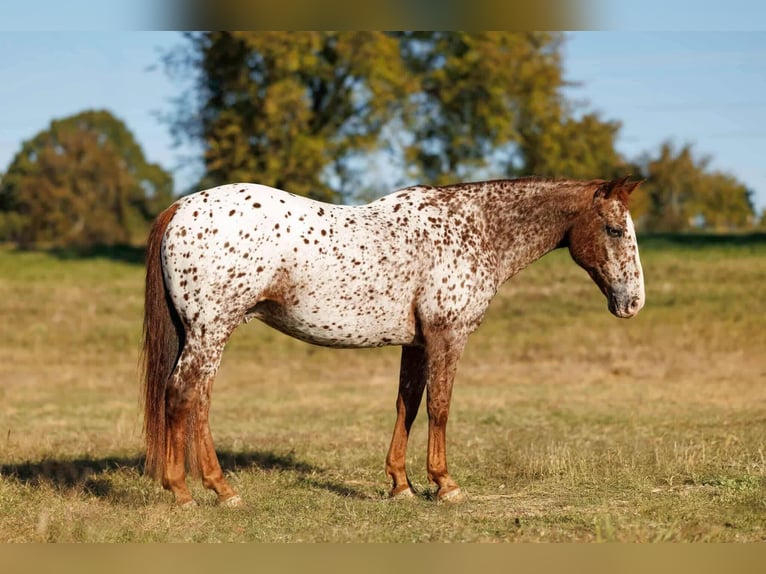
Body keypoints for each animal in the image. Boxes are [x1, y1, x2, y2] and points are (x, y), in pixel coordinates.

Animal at [141, 176, 645, 507]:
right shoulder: (446, 337)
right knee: (182, 394)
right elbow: (440, 407)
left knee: (198, 400)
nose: (633, 302)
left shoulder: (416, 344)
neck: (473, 229)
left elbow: (408, 404)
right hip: (211, 330)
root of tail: (181, 208)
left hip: (205, 334)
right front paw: (445, 485)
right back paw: (188, 492)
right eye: (615, 230)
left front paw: (401, 486)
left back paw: (217, 489)